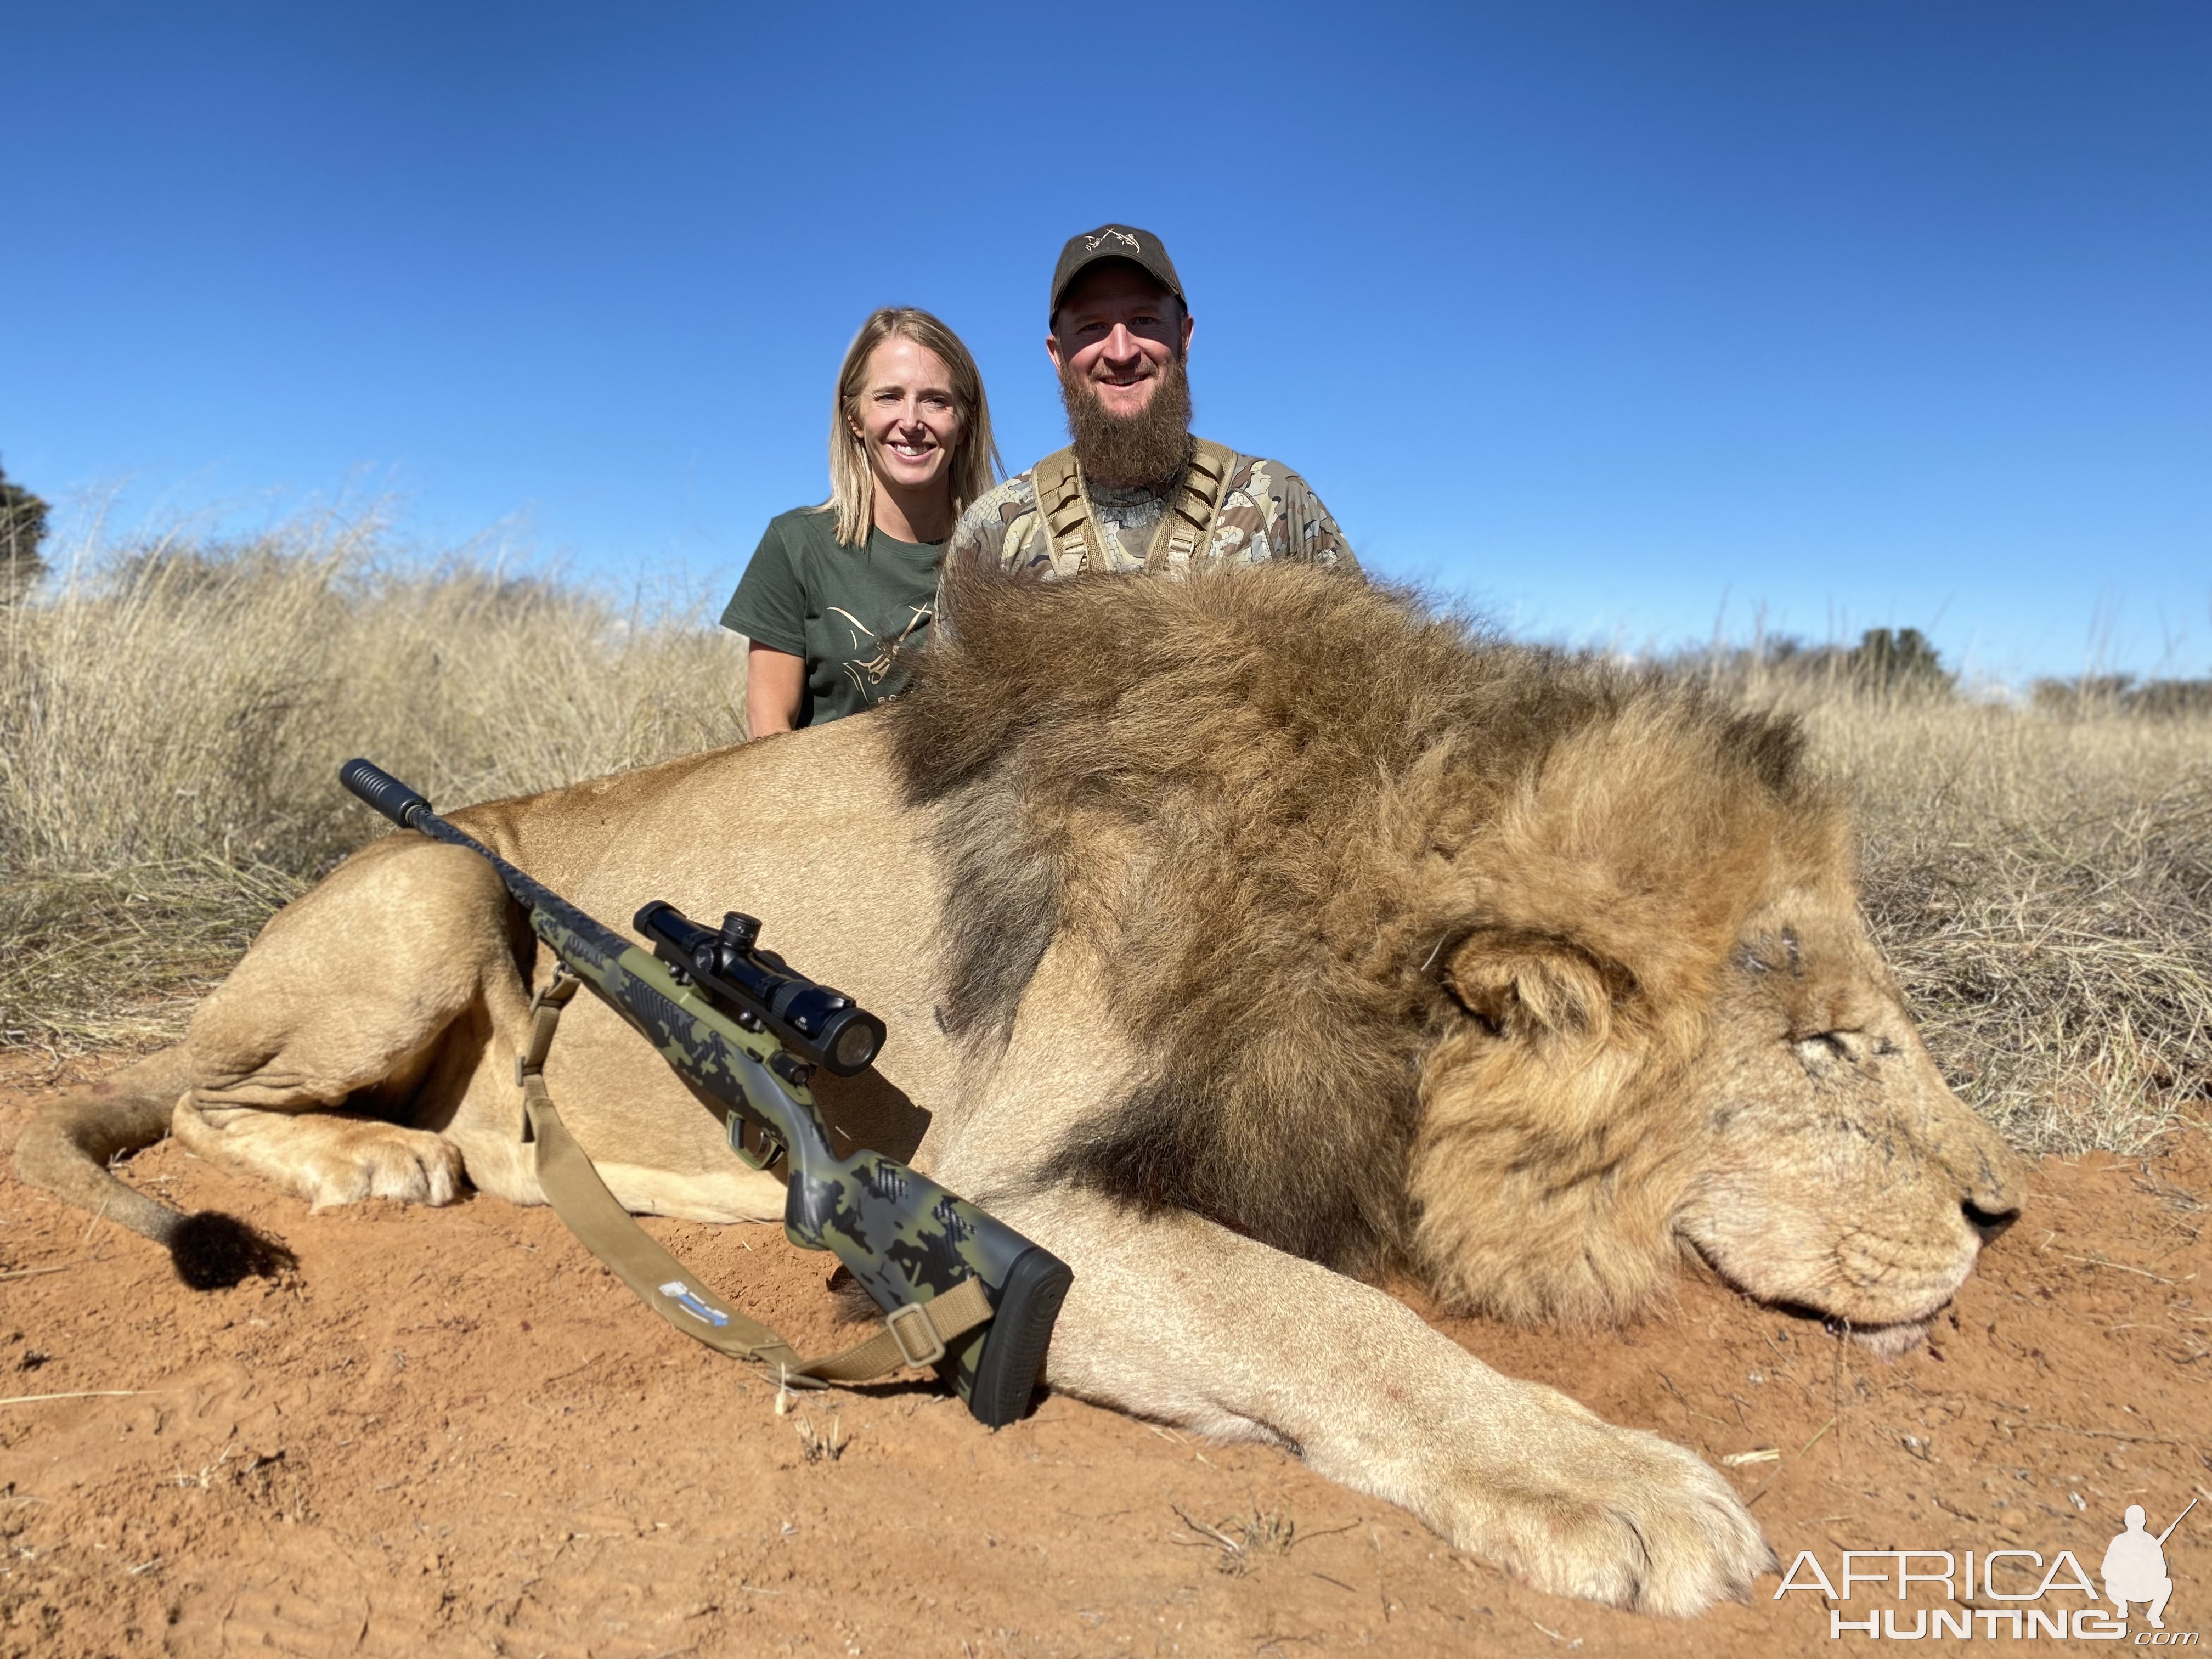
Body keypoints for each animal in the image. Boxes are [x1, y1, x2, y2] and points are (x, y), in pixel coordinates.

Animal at [17, 566, 2026, 1619]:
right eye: (1833, 1044)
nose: (2003, 1219)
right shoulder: (1024, 1199)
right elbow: (1345, 1328)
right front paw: (1620, 1483)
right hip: (442, 890)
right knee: (190, 1097)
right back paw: (375, 1166)